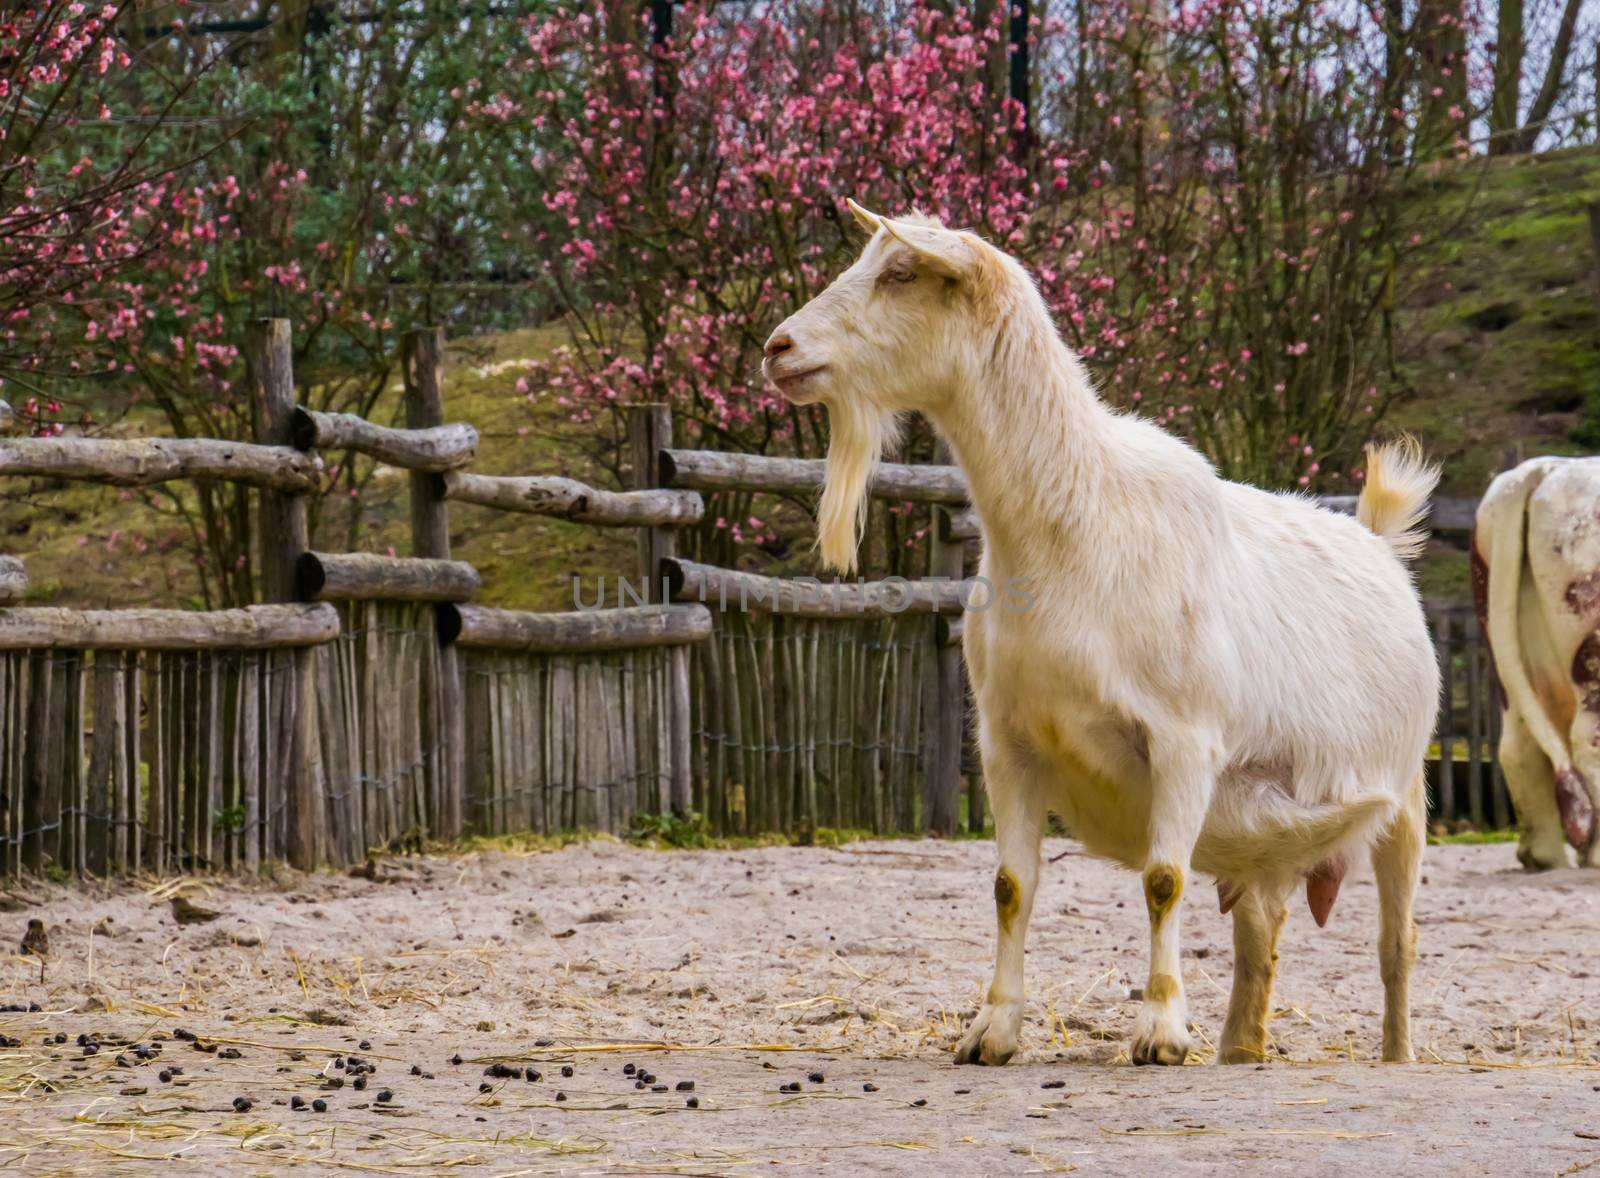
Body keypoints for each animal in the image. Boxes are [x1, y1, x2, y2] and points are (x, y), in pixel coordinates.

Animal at [758, 202, 1440, 1069]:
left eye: (901, 272)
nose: (779, 348)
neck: (1078, 523)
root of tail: (1380, 542)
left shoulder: (1185, 740)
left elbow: (1162, 880)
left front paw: (1159, 1032)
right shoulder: (1009, 741)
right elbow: (1011, 888)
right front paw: (993, 1030)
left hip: (1406, 798)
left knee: (1397, 942)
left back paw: (1396, 1054)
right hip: (1267, 830)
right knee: (1261, 933)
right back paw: (1240, 1049)